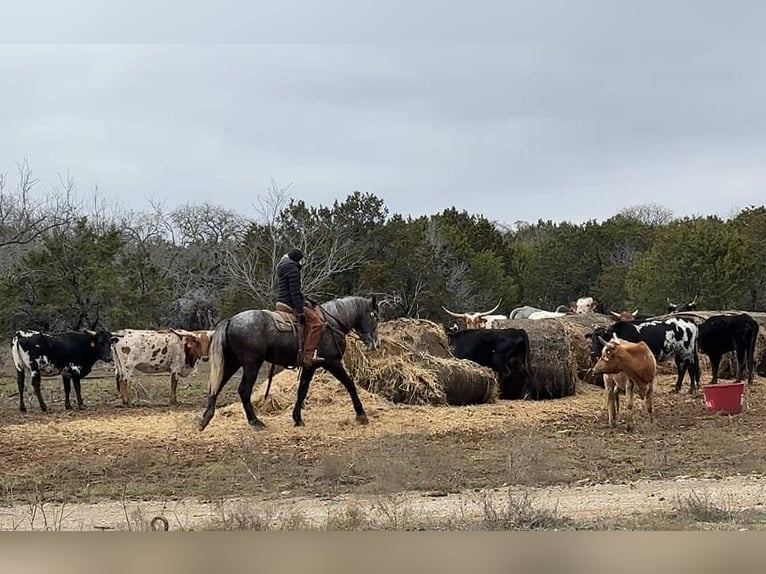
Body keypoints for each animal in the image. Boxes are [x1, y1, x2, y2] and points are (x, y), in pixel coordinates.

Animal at [196, 296, 380, 432]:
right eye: (375, 317)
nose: (375, 344)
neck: (332, 323)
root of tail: (230, 320)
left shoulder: (310, 366)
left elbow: (302, 391)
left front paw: (297, 419)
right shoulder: (333, 363)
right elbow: (350, 384)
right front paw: (361, 415)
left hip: (232, 363)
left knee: (215, 387)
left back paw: (205, 420)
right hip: (251, 365)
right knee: (243, 390)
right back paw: (255, 421)